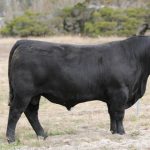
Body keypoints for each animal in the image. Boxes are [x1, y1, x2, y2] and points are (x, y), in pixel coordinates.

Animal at [6, 35, 150, 142]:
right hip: (24, 93)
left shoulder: (112, 96)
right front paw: (121, 133)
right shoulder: (120, 91)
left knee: (31, 113)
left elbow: (112, 114)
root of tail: (24, 41)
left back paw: (43, 135)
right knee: (15, 112)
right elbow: (119, 114)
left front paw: (113, 132)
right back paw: (11, 139)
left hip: (34, 95)